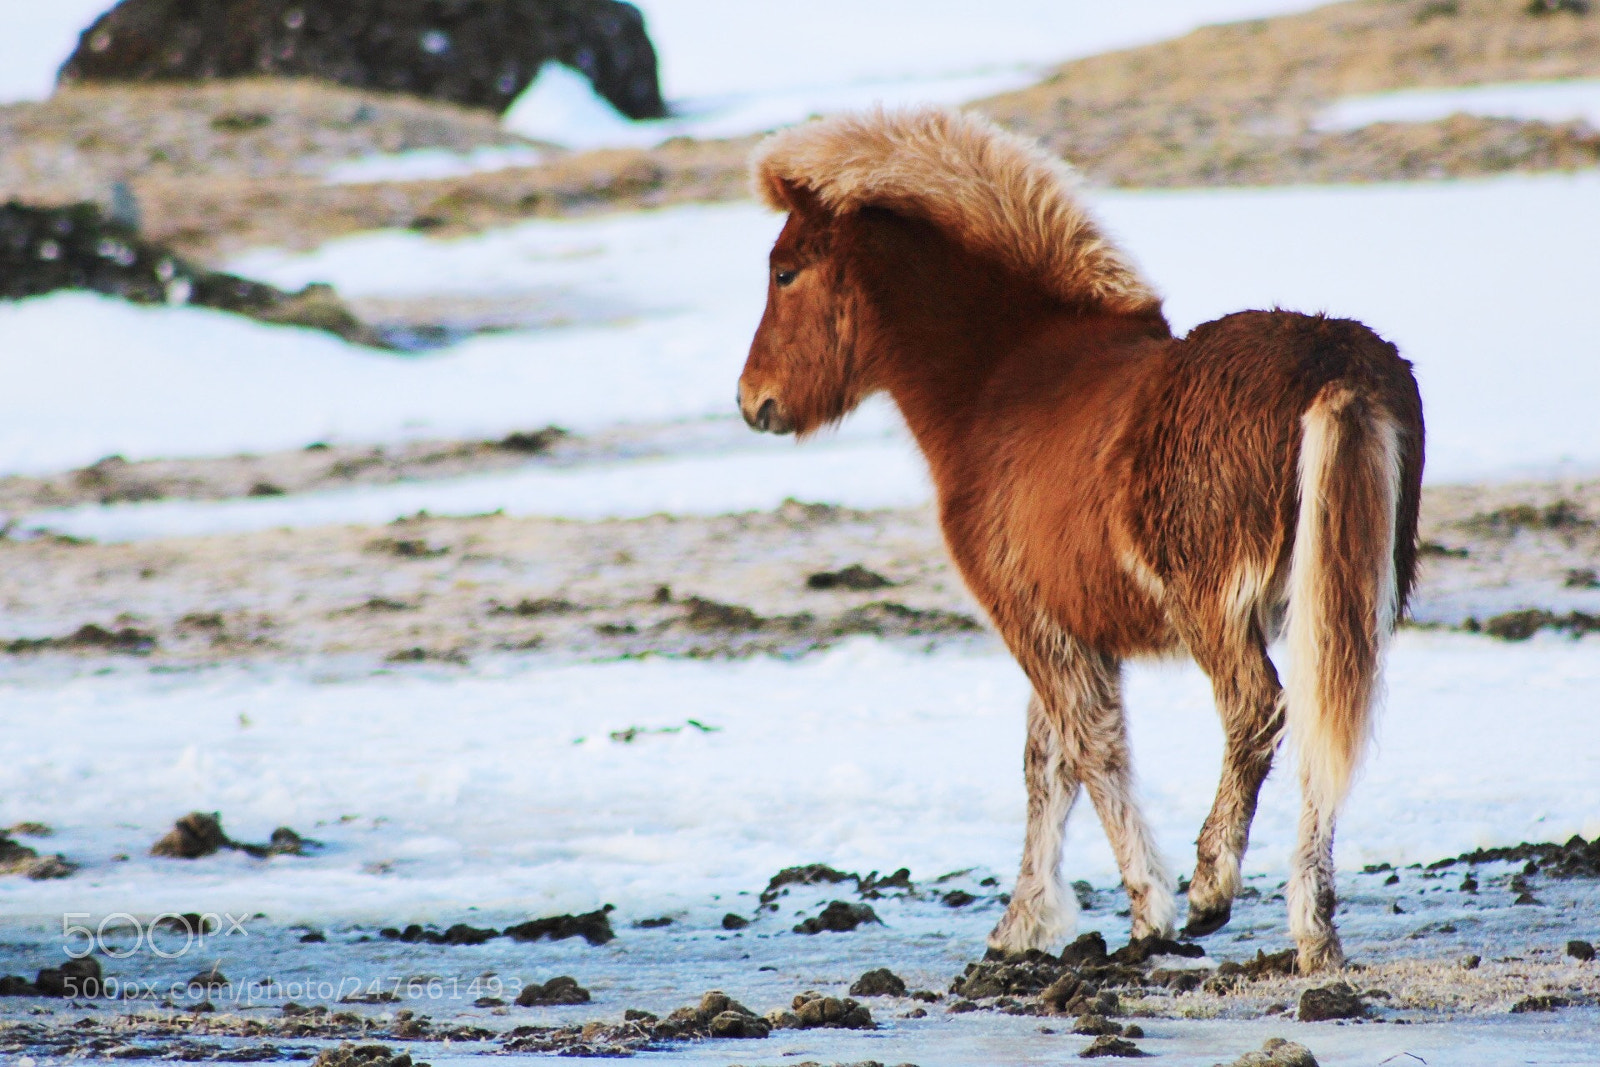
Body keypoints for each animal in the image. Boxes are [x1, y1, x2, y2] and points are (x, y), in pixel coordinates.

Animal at [735, 108, 1423, 972]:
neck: (1000, 383)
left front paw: (1148, 911)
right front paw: (1022, 923)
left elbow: (1091, 746)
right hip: (1345, 597)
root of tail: (1334, 368)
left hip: (1213, 608)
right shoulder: (1066, 620)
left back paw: (1213, 889)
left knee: (1257, 711)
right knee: (1328, 725)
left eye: (786, 272)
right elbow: (1047, 762)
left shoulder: (1031, 620)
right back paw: (1314, 930)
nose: (753, 400)